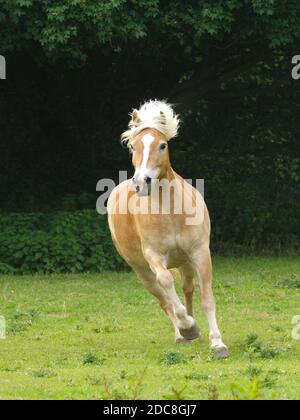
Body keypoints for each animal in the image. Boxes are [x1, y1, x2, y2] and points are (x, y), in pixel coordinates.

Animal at [109, 99, 229, 358]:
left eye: (162, 145)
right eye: (133, 147)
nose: (141, 182)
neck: (170, 212)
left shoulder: (200, 253)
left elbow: (207, 298)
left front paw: (217, 344)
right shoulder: (154, 257)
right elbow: (166, 284)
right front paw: (188, 327)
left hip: (184, 262)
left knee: (187, 289)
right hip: (142, 271)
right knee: (164, 299)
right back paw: (184, 332)